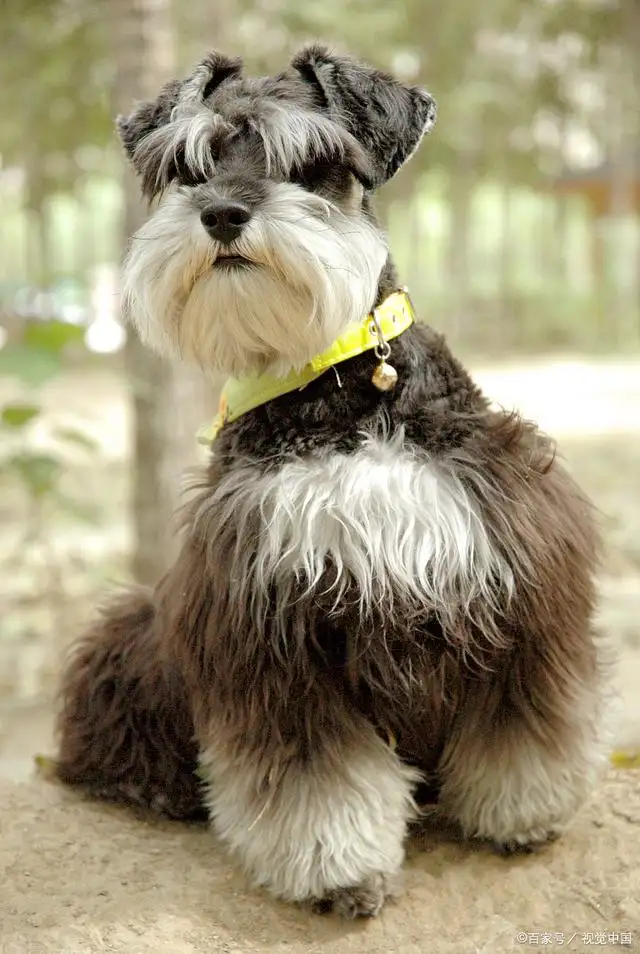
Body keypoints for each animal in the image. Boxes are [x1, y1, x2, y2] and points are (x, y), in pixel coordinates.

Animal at [53, 44, 604, 916]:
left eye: (311, 164)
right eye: (189, 168)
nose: (221, 214)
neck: (333, 385)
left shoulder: (512, 574)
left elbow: (522, 720)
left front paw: (523, 813)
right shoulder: (268, 620)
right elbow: (315, 773)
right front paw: (338, 868)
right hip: (135, 632)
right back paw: (152, 785)